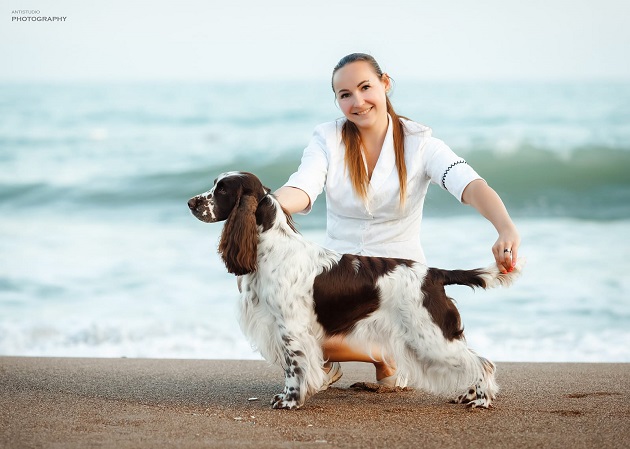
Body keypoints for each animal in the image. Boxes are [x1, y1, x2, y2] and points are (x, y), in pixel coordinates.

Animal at [188, 171, 522, 409]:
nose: (191, 202)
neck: (272, 247)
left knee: (482, 362)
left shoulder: (290, 327)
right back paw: (469, 395)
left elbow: (294, 367)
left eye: (222, 190)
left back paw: (480, 400)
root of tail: (434, 274)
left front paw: (289, 400)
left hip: (429, 336)